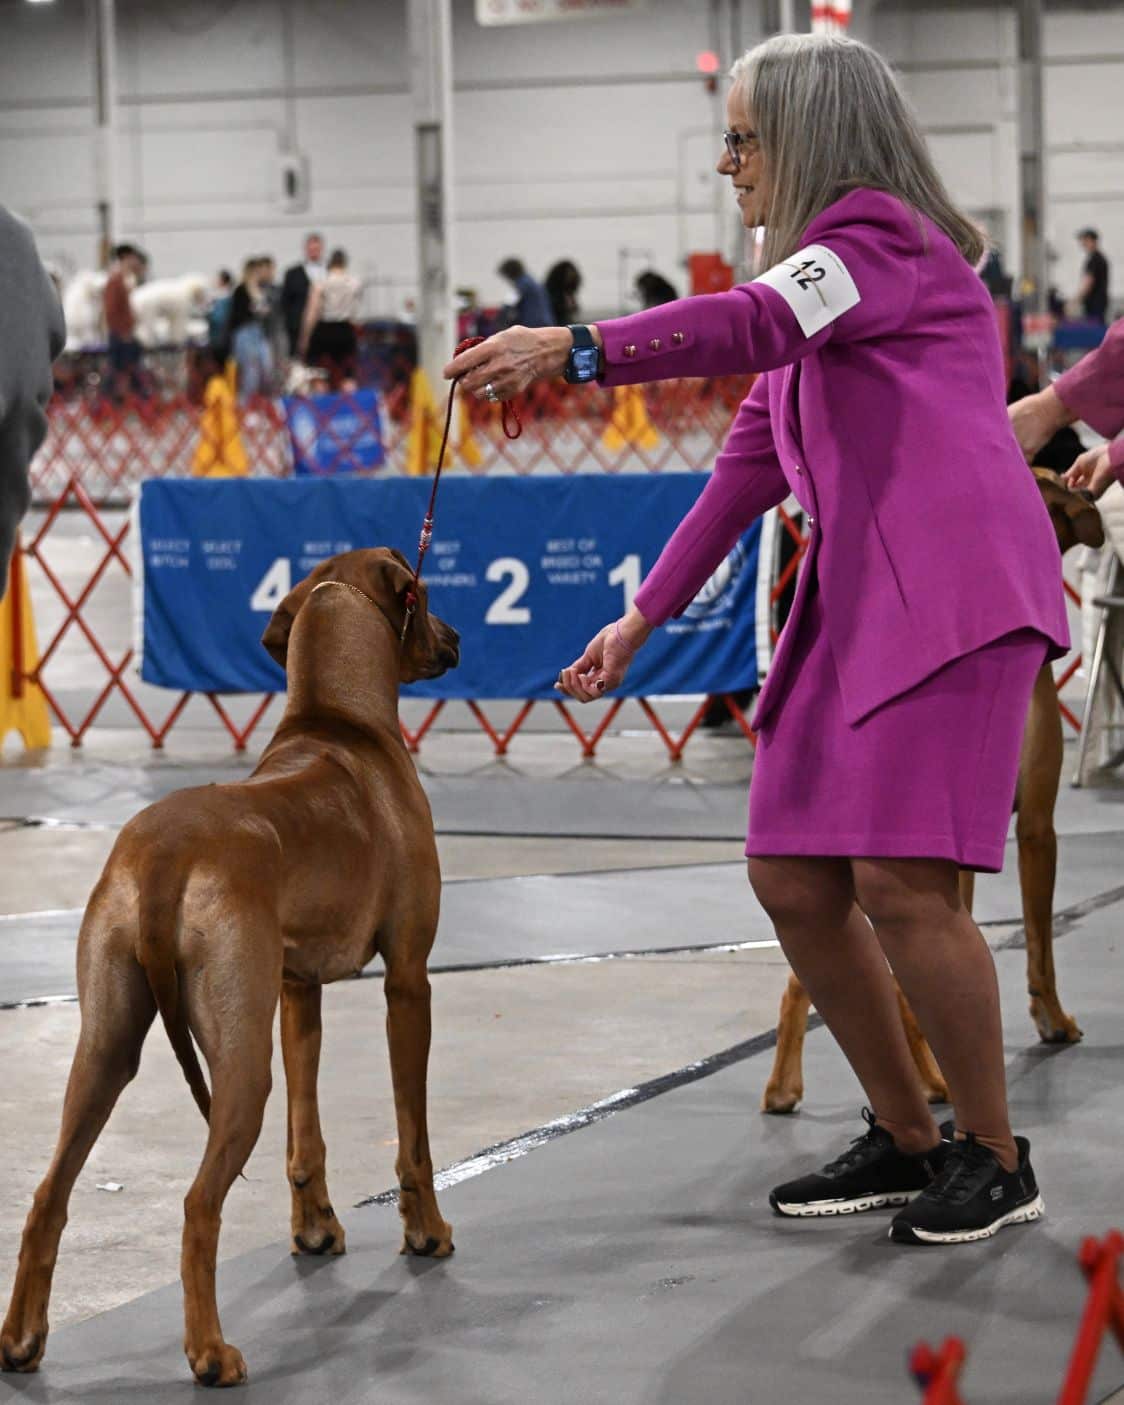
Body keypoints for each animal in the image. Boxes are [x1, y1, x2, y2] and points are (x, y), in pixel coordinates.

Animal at [1, 548, 460, 1388]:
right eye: (425, 594)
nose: (457, 641)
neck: (337, 723)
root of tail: (161, 857)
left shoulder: (295, 988)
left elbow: (305, 1135)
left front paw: (316, 1229)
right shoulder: (409, 979)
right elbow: (413, 1133)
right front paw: (426, 1230)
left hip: (104, 1044)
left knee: (48, 1192)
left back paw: (21, 1340)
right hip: (241, 1069)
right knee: (196, 1205)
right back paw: (211, 1352)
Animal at [762, 469, 1104, 1113]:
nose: (1090, 486)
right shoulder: (1036, 827)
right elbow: (1040, 944)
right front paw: (1054, 1021)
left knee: (808, 977)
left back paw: (785, 1086)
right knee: (898, 991)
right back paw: (934, 1083)